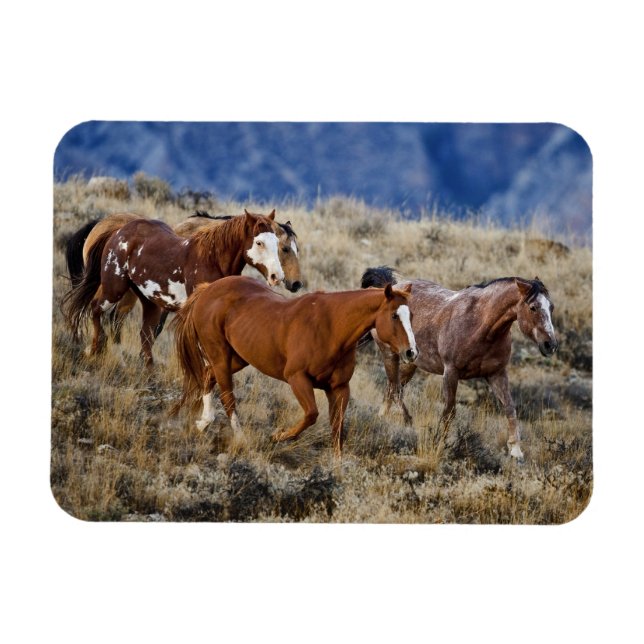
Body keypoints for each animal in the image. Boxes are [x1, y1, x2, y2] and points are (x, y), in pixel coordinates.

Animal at [62, 211, 284, 366]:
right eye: (259, 242)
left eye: (277, 242)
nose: (277, 276)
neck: (210, 260)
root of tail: (117, 232)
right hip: (114, 288)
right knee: (96, 309)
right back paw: (94, 349)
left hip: (149, 302)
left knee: (145, 335)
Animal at [173, 275, 418, 457]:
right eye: (394, 315)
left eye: (412, 315)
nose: (411, 352)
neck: (332, 328)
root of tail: (208, 289)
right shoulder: (297, 378)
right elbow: (311, 415)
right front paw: (278, 436)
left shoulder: (339, 388)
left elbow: (337, 428)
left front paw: (337, 464)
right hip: (220, 355)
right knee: (227, 396)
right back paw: (240, 437)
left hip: (237, 358)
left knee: (207, 376)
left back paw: (203, 423)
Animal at [361, 266, 558, 460]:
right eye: (533, 307)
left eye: (551, 307)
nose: (550, 345)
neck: (481, 326)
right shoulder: (451, 373)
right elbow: (449, 411)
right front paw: (439, 444)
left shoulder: (497, 374)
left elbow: (509, 407)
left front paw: (516, 451)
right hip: (390, 355)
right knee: (395, 389)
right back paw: (407, 420)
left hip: (410, 363)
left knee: (392, 388)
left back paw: (384, 418)